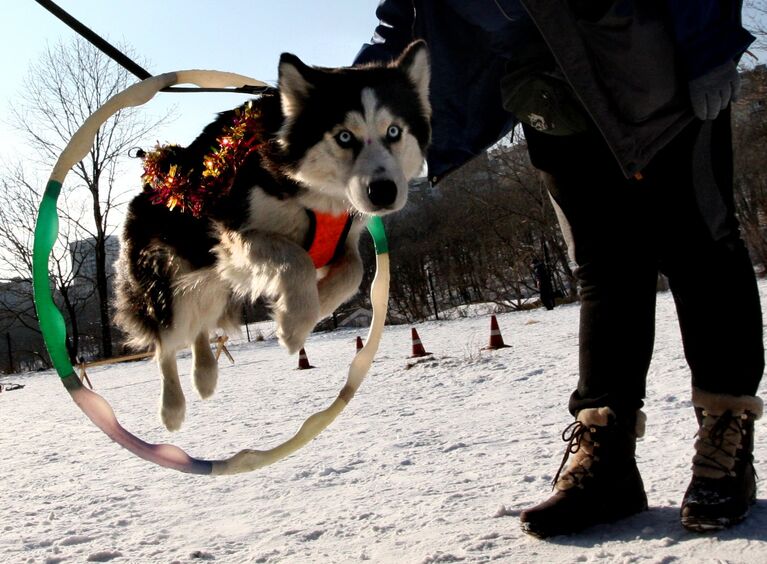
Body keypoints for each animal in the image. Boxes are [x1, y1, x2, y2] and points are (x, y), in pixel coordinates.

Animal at [114, 41, 432, 432]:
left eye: (394, 132)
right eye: (344, 136)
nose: (384, 192)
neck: (316, 193)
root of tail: (157, 176)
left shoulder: (344, 236)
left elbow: (353, 271)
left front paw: (312, 306)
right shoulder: (234, 234)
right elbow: (296, 258)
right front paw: (293, 325)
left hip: (212, 284)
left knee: (199, 324)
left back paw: (205, 374)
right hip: (168, 283)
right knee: (166, 341)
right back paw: (171, 407)